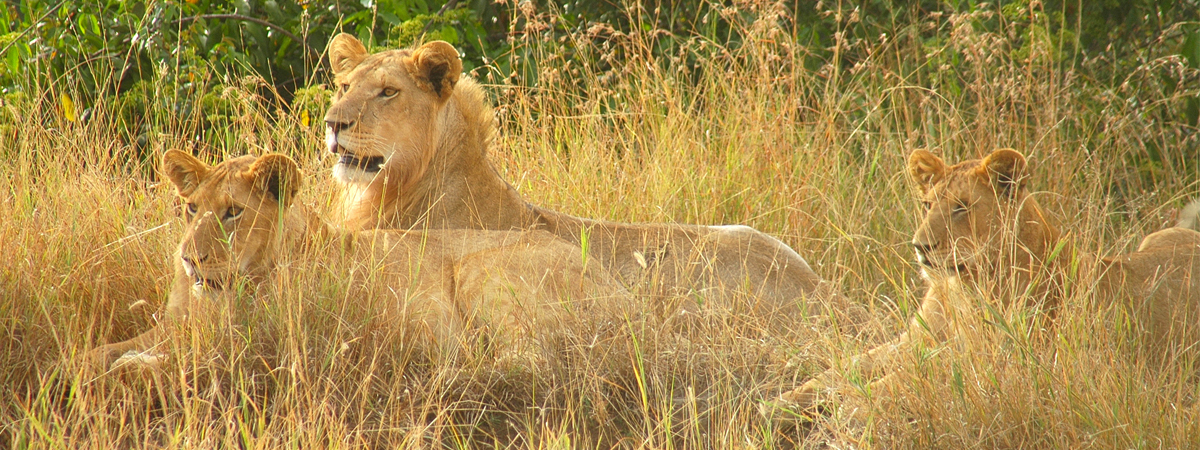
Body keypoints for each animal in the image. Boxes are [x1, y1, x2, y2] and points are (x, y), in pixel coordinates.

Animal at [87, 150, 633, 369]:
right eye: (191, 209)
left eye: (233, 213)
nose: (189, 260)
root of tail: (619, 288)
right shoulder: (174, 326)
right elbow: (100, 351)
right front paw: (86, 365)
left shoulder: (247, 344)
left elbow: (164, 361)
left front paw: (131, 368)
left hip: (483, 271)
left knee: (526, 358)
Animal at [768, 150, 1200, 415]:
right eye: (927, 205)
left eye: (961, 208)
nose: (920, 246)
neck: (960, 288)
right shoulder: (917, 339)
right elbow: (844, 367)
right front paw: (778, 404)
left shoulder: (996, 356)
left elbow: (901, 379)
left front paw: (848, 407)